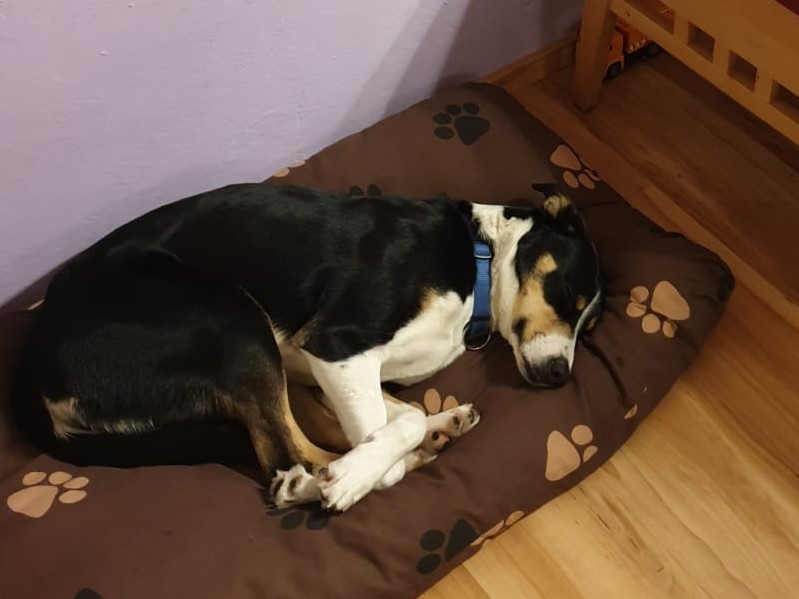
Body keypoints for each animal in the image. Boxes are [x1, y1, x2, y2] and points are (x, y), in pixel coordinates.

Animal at [12, 182, 603, 512]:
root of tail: (31, 373)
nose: (560, 376)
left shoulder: (326, 368)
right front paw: (357, 477)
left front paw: (424, 429)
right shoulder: (337, 345)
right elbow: (388, 430)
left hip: (264, 357)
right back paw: (328, 483)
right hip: (232, 320)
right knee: (285, 460)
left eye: (590, 326)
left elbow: (402, 414)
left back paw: (440, 430)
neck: (479, 263)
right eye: (570, 295)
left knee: (301, 442)